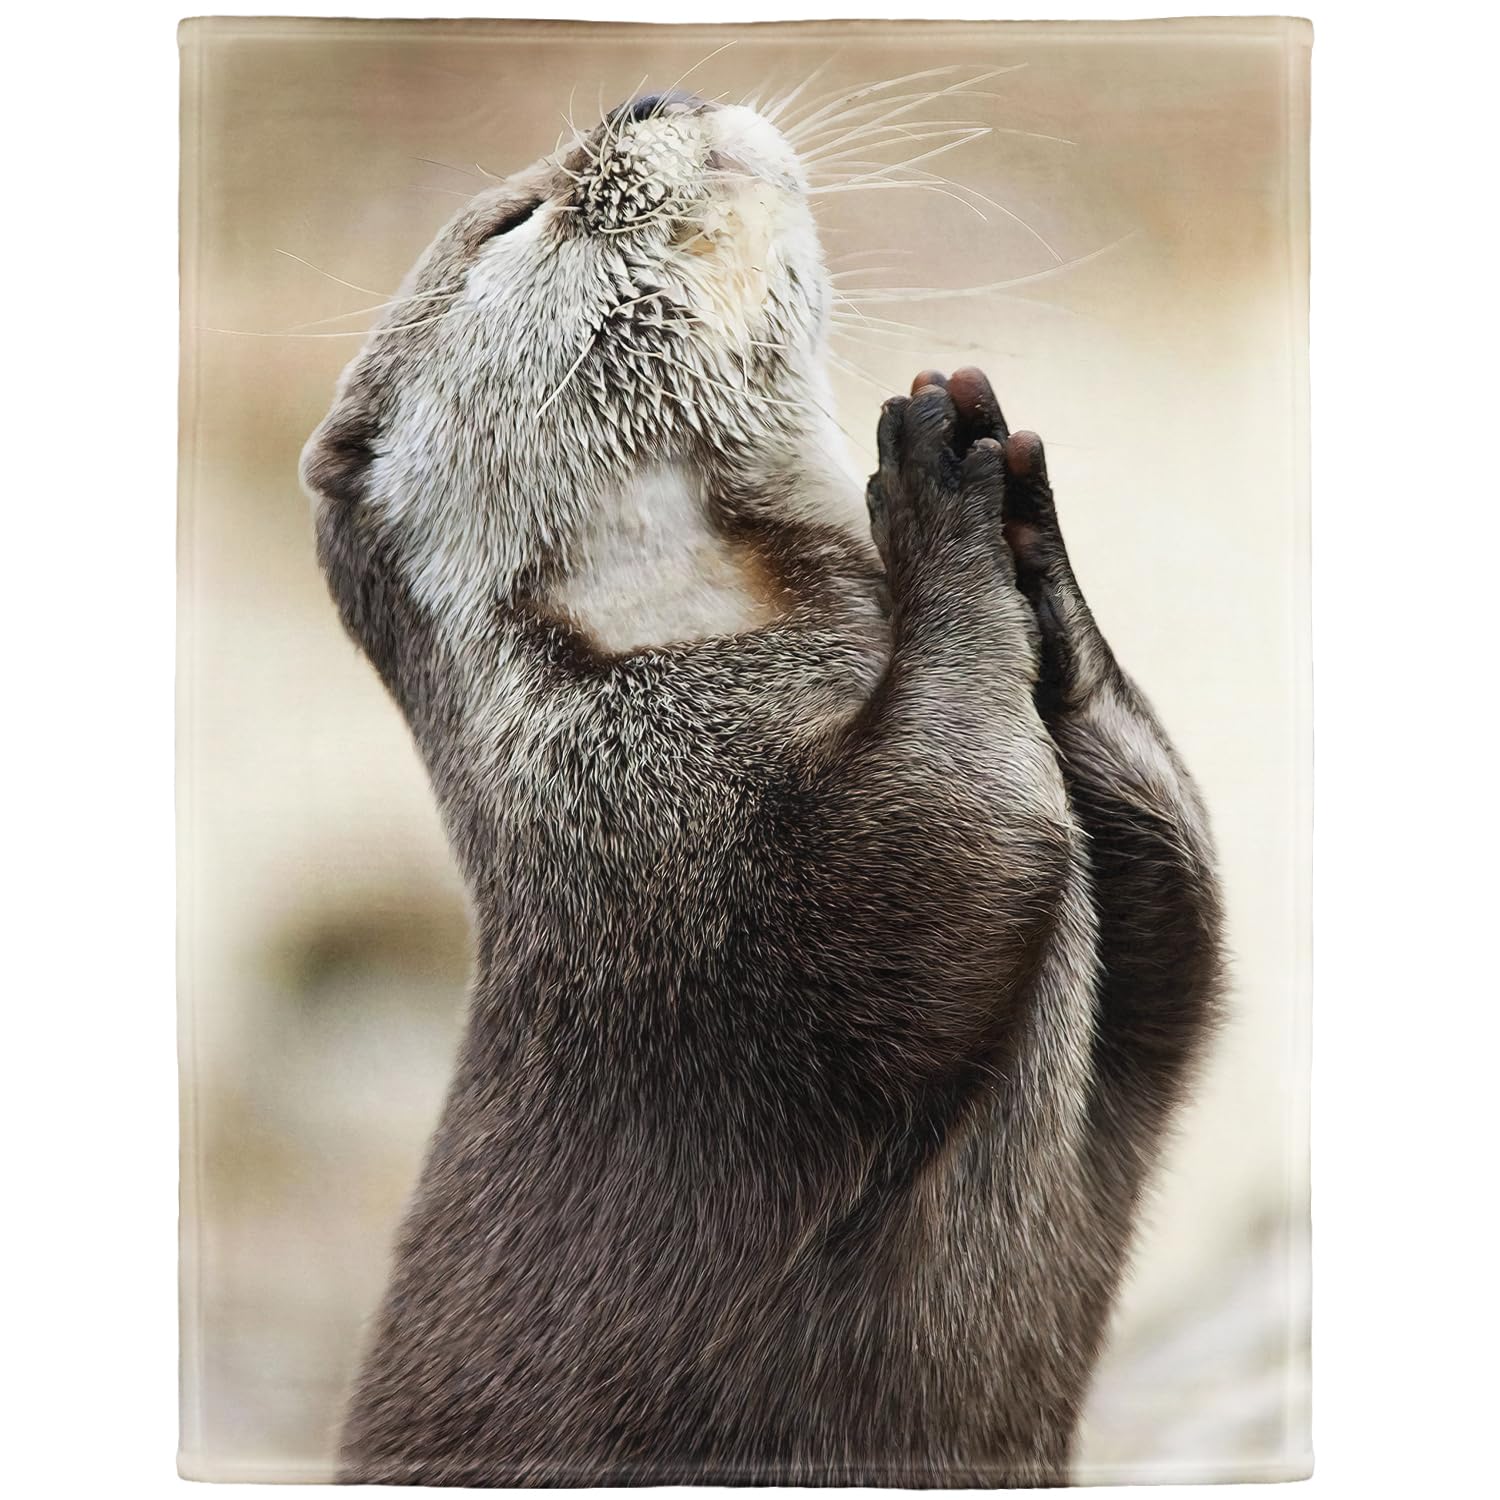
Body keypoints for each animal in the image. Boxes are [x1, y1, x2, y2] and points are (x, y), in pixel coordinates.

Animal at [302, 90, 1223, 1487]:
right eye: (516, 219)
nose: (644, 98)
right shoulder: (669, 846)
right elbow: (952, 842)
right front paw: (932, 490)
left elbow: (1184, 912)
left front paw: (1024, 524)